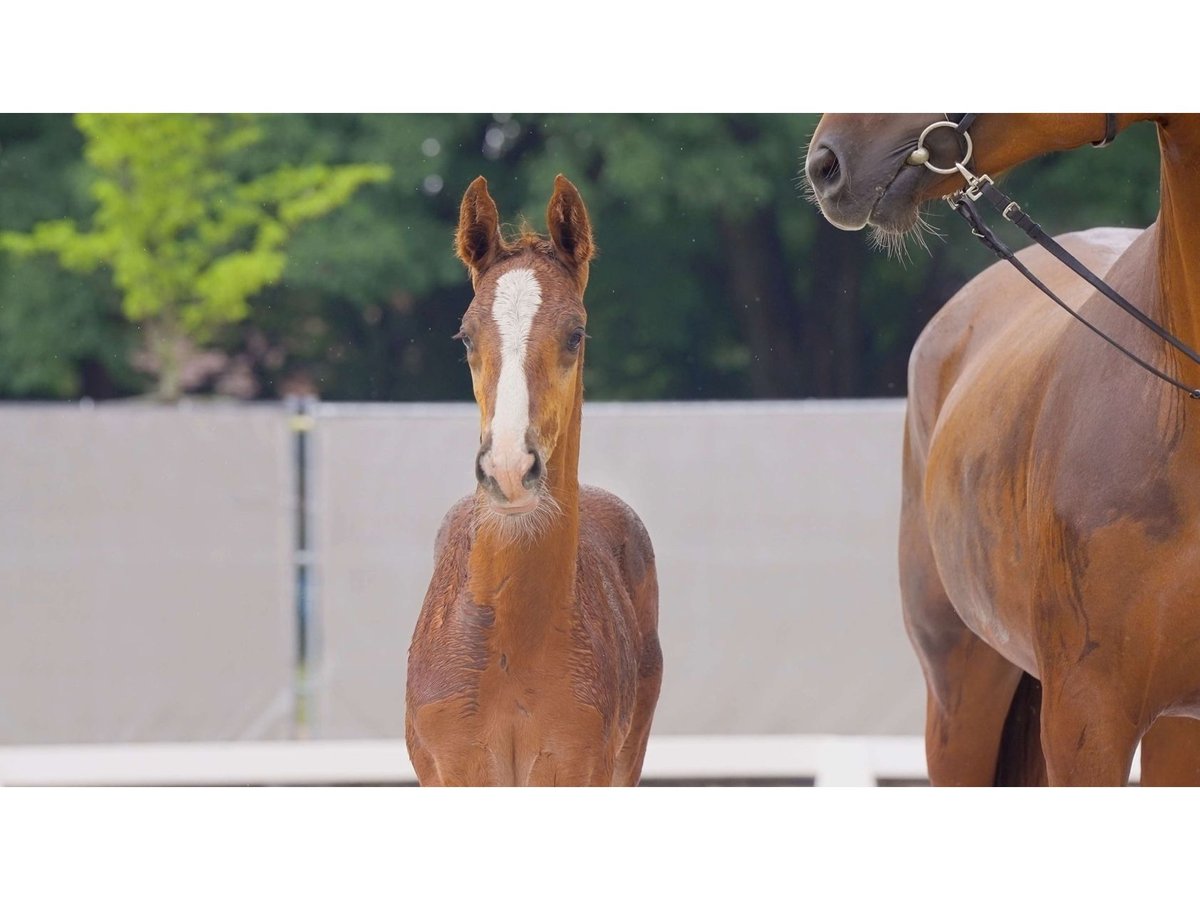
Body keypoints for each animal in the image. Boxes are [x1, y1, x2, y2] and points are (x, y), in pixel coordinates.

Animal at [408, 176, 662, 787]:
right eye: (465, 337)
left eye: (576, 334)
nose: (508, 469)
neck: (510, 647)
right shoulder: (456, 769)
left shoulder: (574, 767)